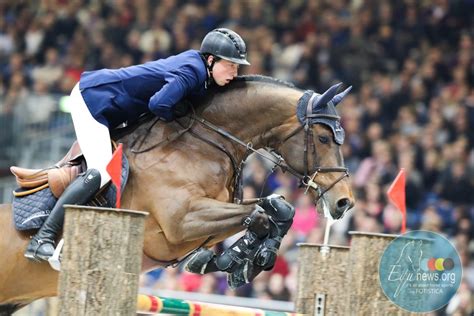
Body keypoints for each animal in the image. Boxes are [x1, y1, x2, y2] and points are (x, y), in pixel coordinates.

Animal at [0, 75, 356, 312]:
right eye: (324, 138)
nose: (344, 202)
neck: (201, 145)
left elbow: (277, 209)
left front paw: (232, 261)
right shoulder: (181, 222)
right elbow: (259, 215)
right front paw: (241, 261)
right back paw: (42, 246)